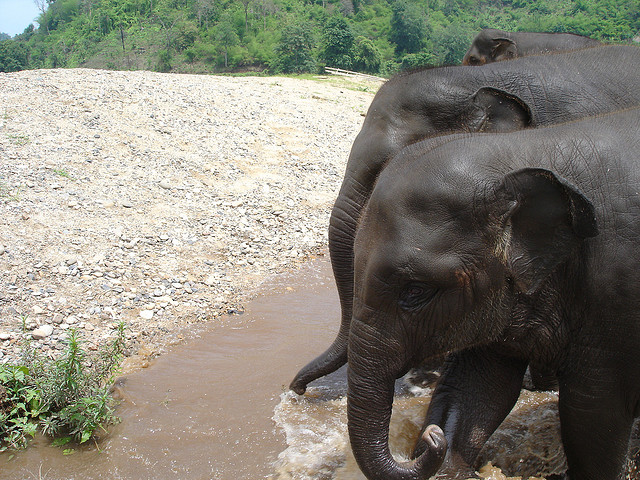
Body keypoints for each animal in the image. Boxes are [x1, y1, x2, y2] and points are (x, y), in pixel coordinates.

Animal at [347, 106, 640, 480]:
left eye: (415, 290)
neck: (527, 149)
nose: (430, 437)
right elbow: (477, 387)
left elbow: (593, 418)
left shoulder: (619, 293)